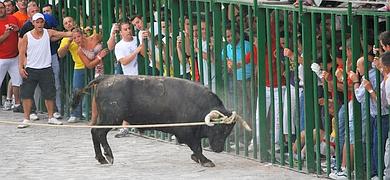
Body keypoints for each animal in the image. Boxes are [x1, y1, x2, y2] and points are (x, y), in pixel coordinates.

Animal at [71, 75, 251, 167]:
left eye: (229, 130)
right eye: (218, 128)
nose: (219, 149)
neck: (200, 106)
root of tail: (105, 78)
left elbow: (196, 148)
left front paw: (197, 158)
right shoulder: (186, 133)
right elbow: (197, 147)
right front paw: (206, 160)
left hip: (104, 118)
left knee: (94, 132)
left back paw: (101, 158)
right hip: (112, 118)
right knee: (99, 133)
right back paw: (108, 156)